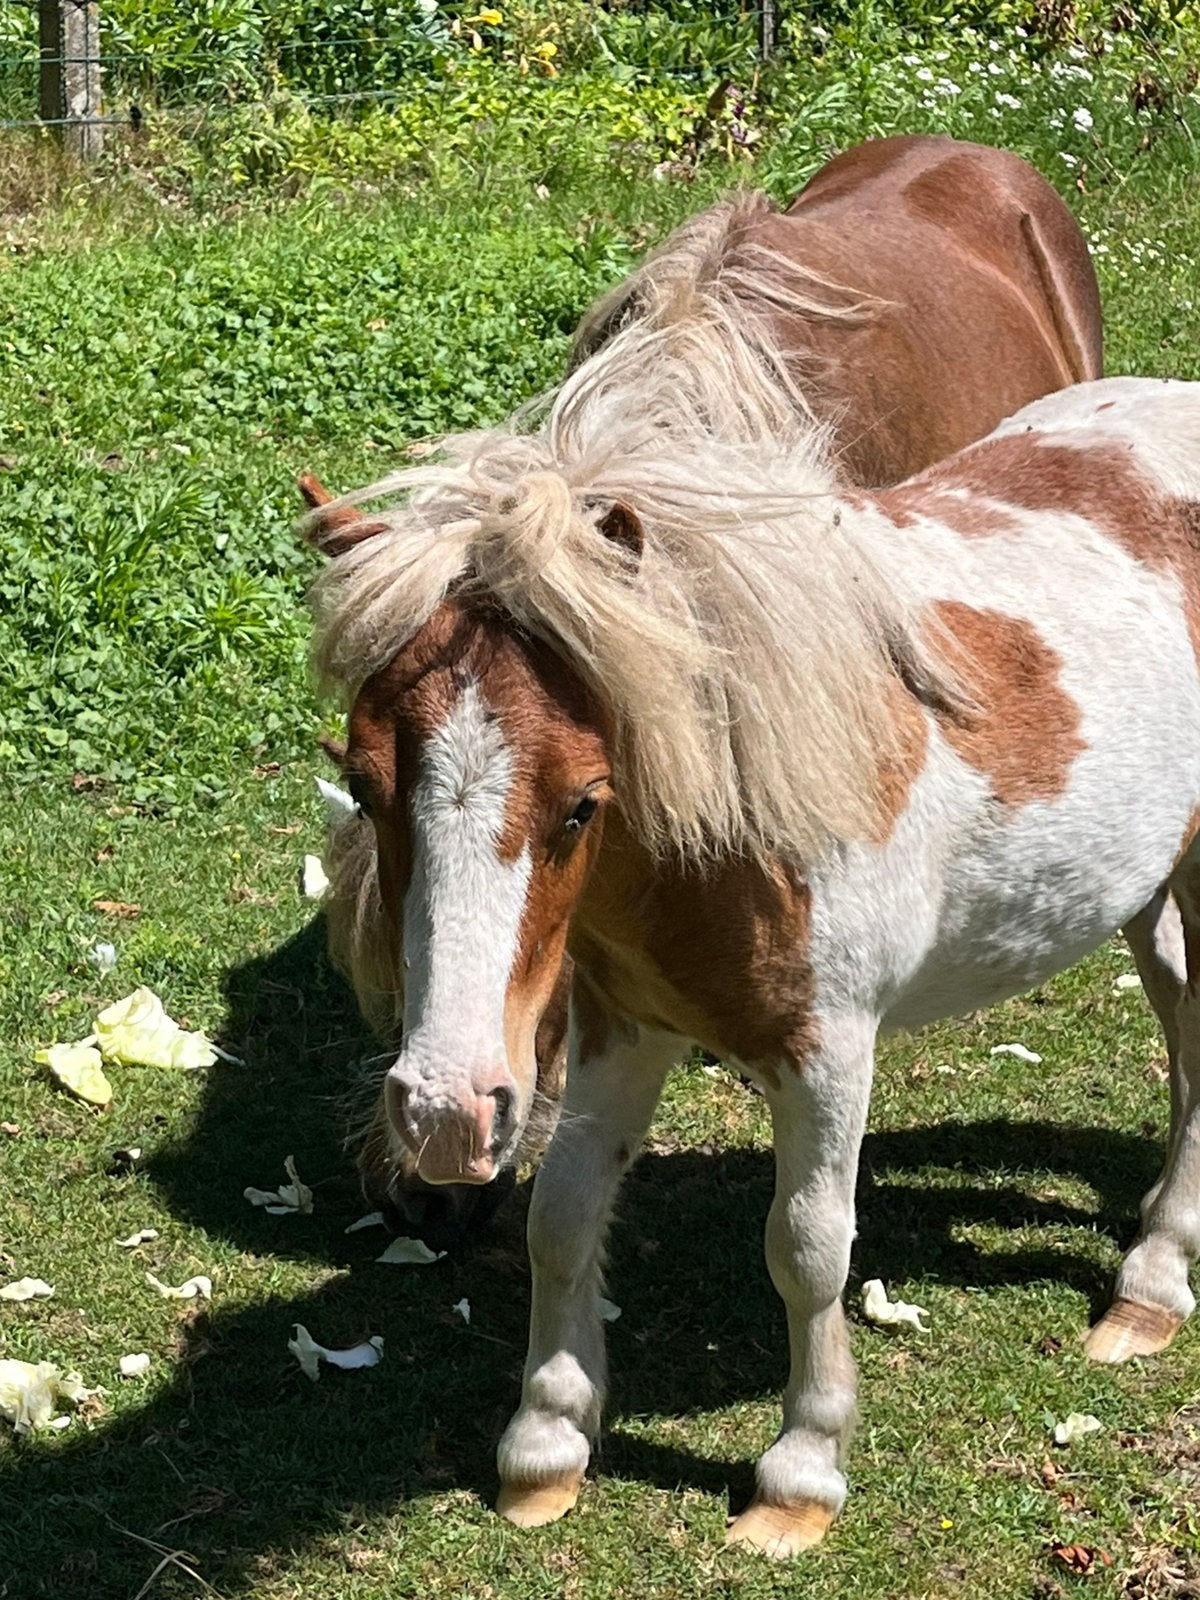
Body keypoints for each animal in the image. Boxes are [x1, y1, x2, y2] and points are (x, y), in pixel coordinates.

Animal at [305, 281, 1200, 1555]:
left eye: (583, 801)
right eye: (365, 782)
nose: (442, 1112)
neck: (728, 830)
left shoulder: (828, 1050)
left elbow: (809, 1246)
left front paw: (802, 1470)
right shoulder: (621, 1024)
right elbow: (563, 1213)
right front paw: (546, 1445)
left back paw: (1150, 1284)